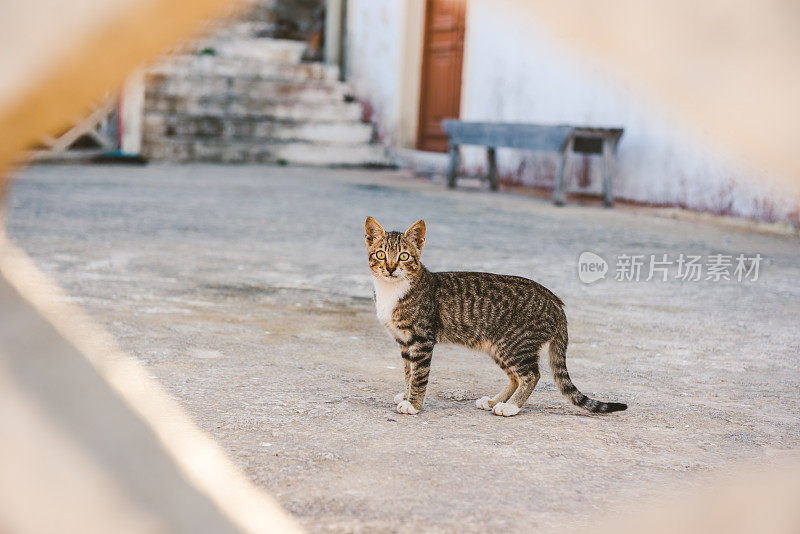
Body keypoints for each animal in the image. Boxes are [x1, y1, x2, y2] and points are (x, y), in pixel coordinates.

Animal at [366, 218, 628, 418]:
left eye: (403, 256)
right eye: (380, 254)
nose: (390, 268)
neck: (392, 290)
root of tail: (555, 301)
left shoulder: (421, 339)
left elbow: (419, 374)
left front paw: (414, 403)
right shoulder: (404, 341)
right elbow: (408, 371)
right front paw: (406, 393)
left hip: (514, 343)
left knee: (531, 375)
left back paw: (511, 407)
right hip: (499, 346)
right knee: (515, 377)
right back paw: (494, 401)